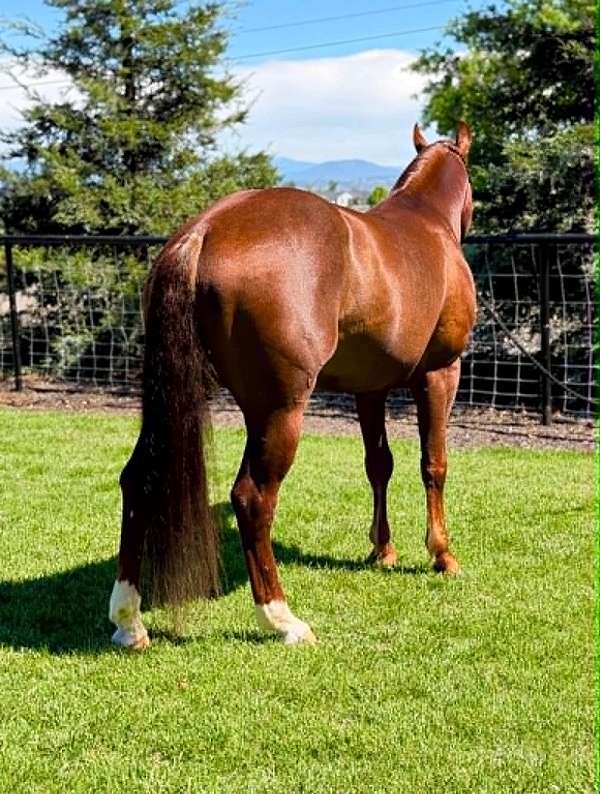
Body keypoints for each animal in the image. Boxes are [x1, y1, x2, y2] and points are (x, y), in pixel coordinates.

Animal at [108, 122, 476, 649]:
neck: (426, 222)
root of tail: (205, 231)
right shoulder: (441, 372)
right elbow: (434, 464)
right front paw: (442, 555)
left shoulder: (370, 388)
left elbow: (378, 465)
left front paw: (382, 550)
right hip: (279, 410)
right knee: (252, 498)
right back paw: (282, 619)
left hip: (170, 401)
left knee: (139, 479)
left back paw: (128, 620)